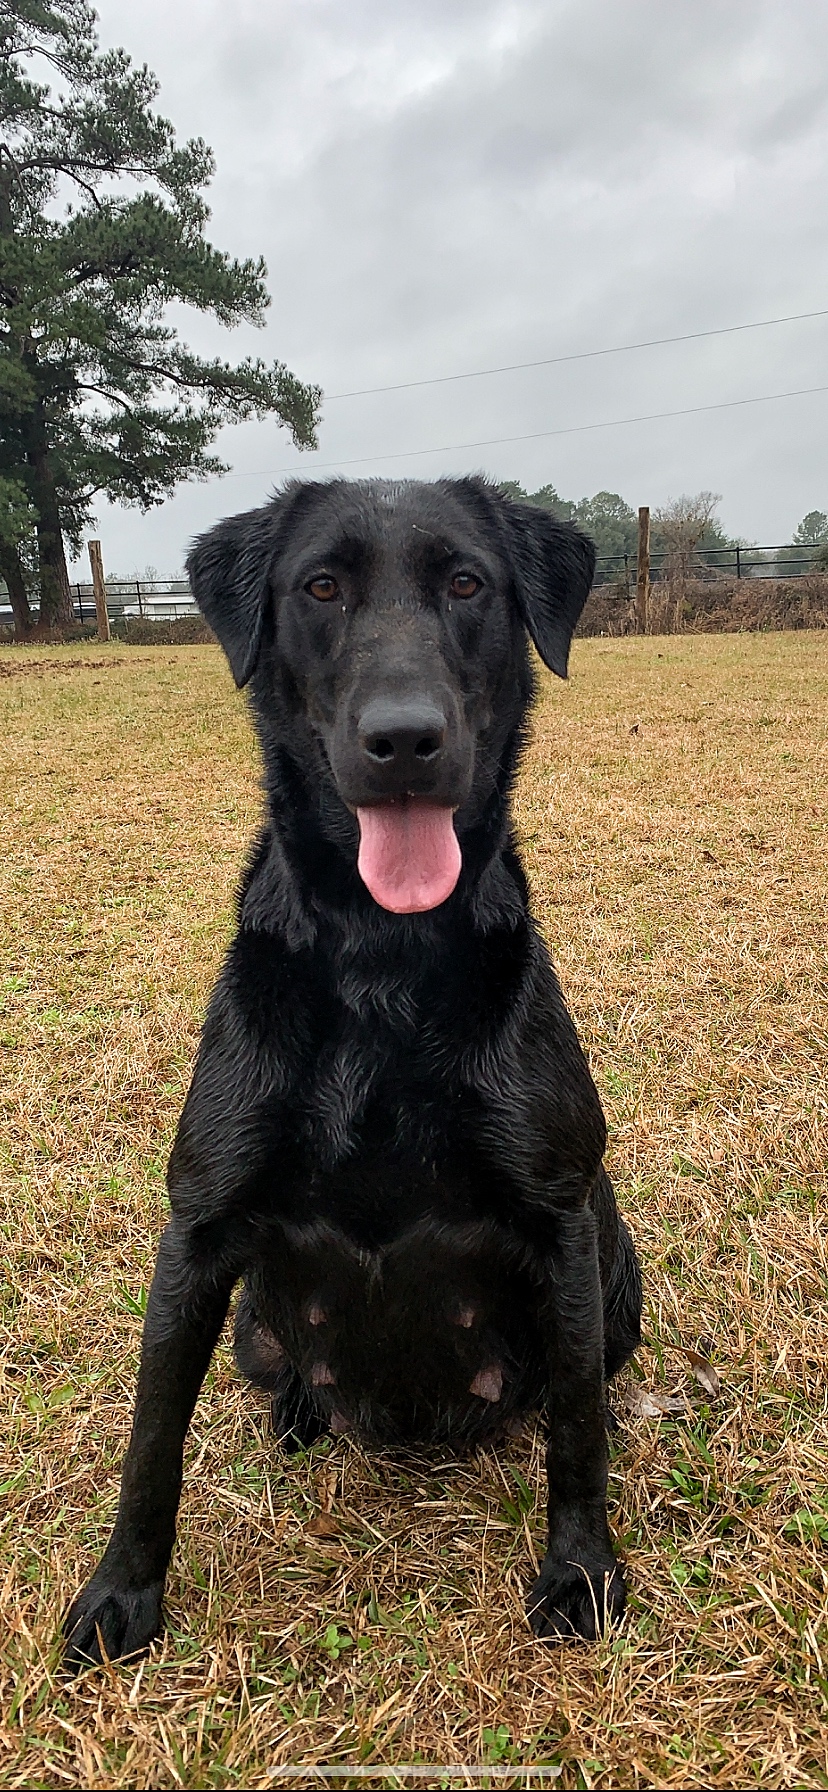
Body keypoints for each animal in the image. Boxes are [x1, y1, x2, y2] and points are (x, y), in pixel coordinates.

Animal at [66, 473, 641, 1662]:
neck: (382, 959)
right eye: (321, 587)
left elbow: (578, 1437)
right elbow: (151, 1437)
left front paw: (579, 1571)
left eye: (466, 582)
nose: (405, 739)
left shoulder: (562, 1216)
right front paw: (120, 1595)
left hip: (617, 1278)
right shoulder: (197, 1230)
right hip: (253, 1324)